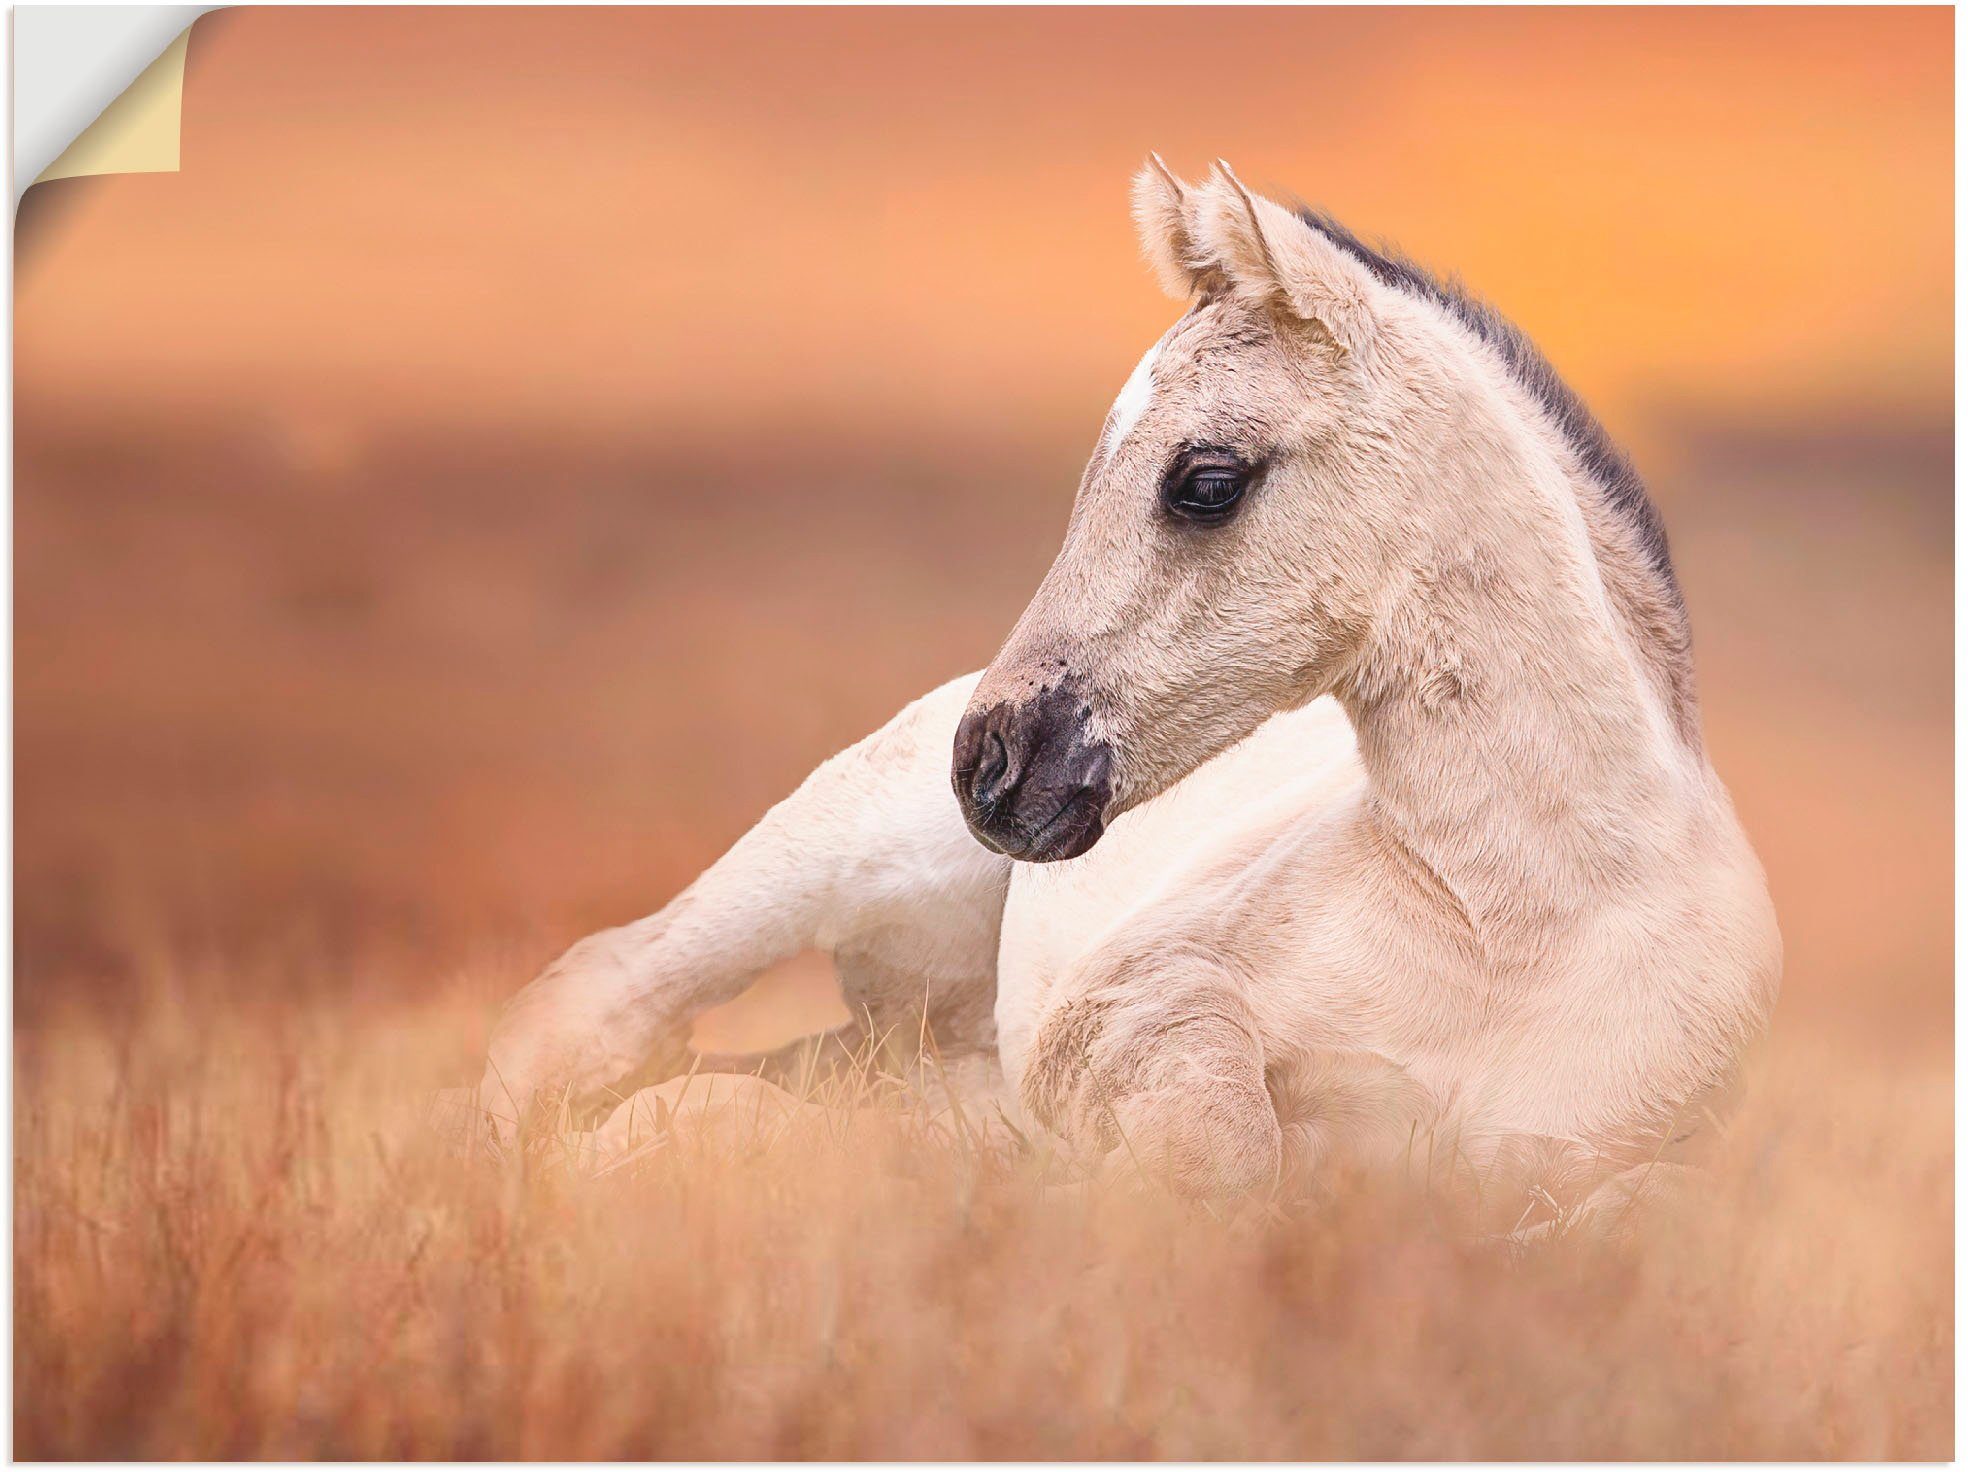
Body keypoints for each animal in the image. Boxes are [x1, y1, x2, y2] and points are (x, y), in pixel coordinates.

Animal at [480, 158, 1786, 1204]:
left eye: (1204, 480)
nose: (991, 762)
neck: (1515, 923)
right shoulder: (1125, 1008)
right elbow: (1221, 1154)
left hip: (910, 1036)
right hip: (810, 861)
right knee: (605, 1006)